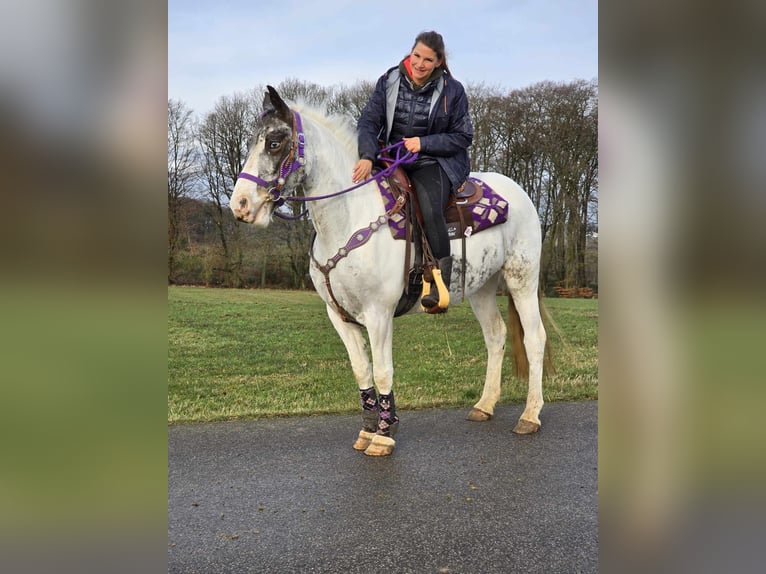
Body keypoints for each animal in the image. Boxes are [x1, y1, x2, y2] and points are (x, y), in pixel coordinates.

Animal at [230, 85, 552, 456]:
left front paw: (384, 434)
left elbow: (383, 371)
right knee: (496, 335)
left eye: (274, 142)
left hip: (522, 279)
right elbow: (361, 370)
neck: (350, 215)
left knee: (534, 338)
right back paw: (484, 405)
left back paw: (530, 414)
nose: (240, 205)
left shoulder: (378, 313)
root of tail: (519, 193)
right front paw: (369, 429)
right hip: (481, 288)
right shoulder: (338, 315)